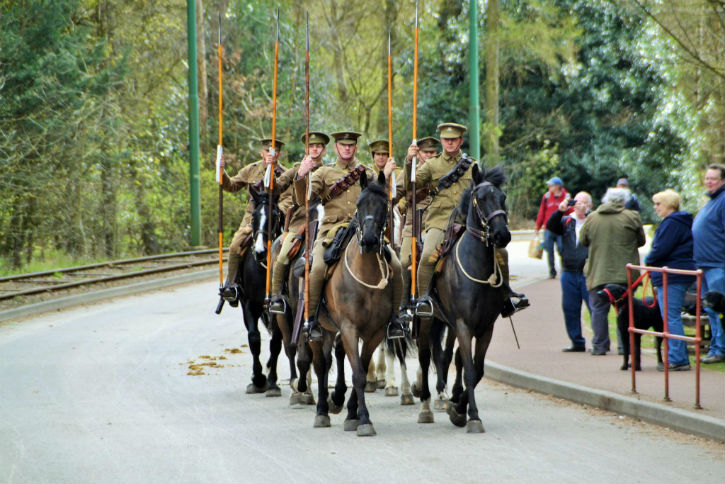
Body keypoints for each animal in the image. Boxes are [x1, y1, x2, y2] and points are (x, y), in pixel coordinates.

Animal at [306, 169, 396, 434]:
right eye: (359, 204)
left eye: (384, 204)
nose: (369, 241)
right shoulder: (349, 328)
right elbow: (356, 374)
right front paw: (364, 419)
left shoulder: (375, 332)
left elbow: (363, 370)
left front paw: (353, 414)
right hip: (317, 330)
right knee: (320, 365)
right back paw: (322, 411)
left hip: (329, 329)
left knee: (329, 358)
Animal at [412, 164, 510, 432]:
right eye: (482, 198)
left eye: (503, 198)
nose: (502, 235)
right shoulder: (464, 325)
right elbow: (468, 370)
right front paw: (471, 415)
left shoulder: (486, 328)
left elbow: (477, 369)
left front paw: (458, 407)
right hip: (427, 320)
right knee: (425, 357)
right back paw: (426, 403)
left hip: (444, 322)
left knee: (444, 356)